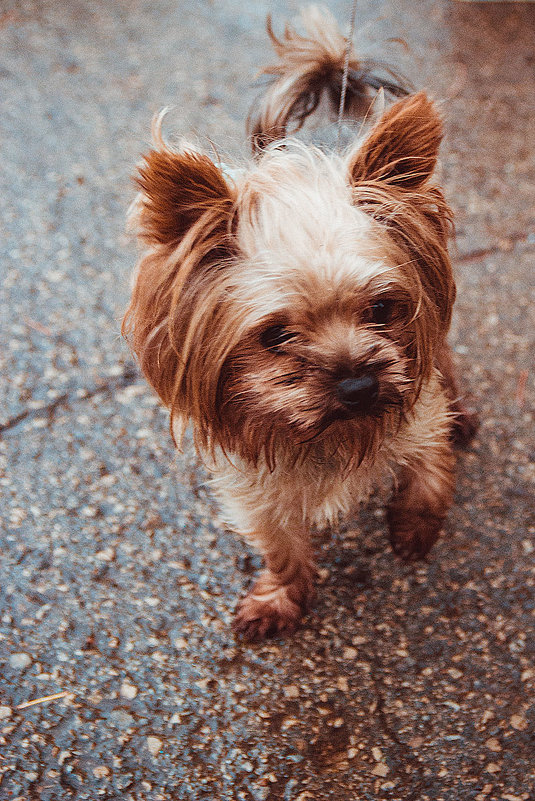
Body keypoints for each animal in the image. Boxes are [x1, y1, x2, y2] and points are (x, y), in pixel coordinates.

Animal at [124, 6, 478, 640]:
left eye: (381, 310)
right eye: (275, 336)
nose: (359, 385)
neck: (325, 434)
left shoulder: (417, 413)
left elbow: (429, 473)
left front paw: (414, 531)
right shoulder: (255, 491)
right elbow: (282, 546)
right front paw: (281, 600)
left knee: (445, 361)